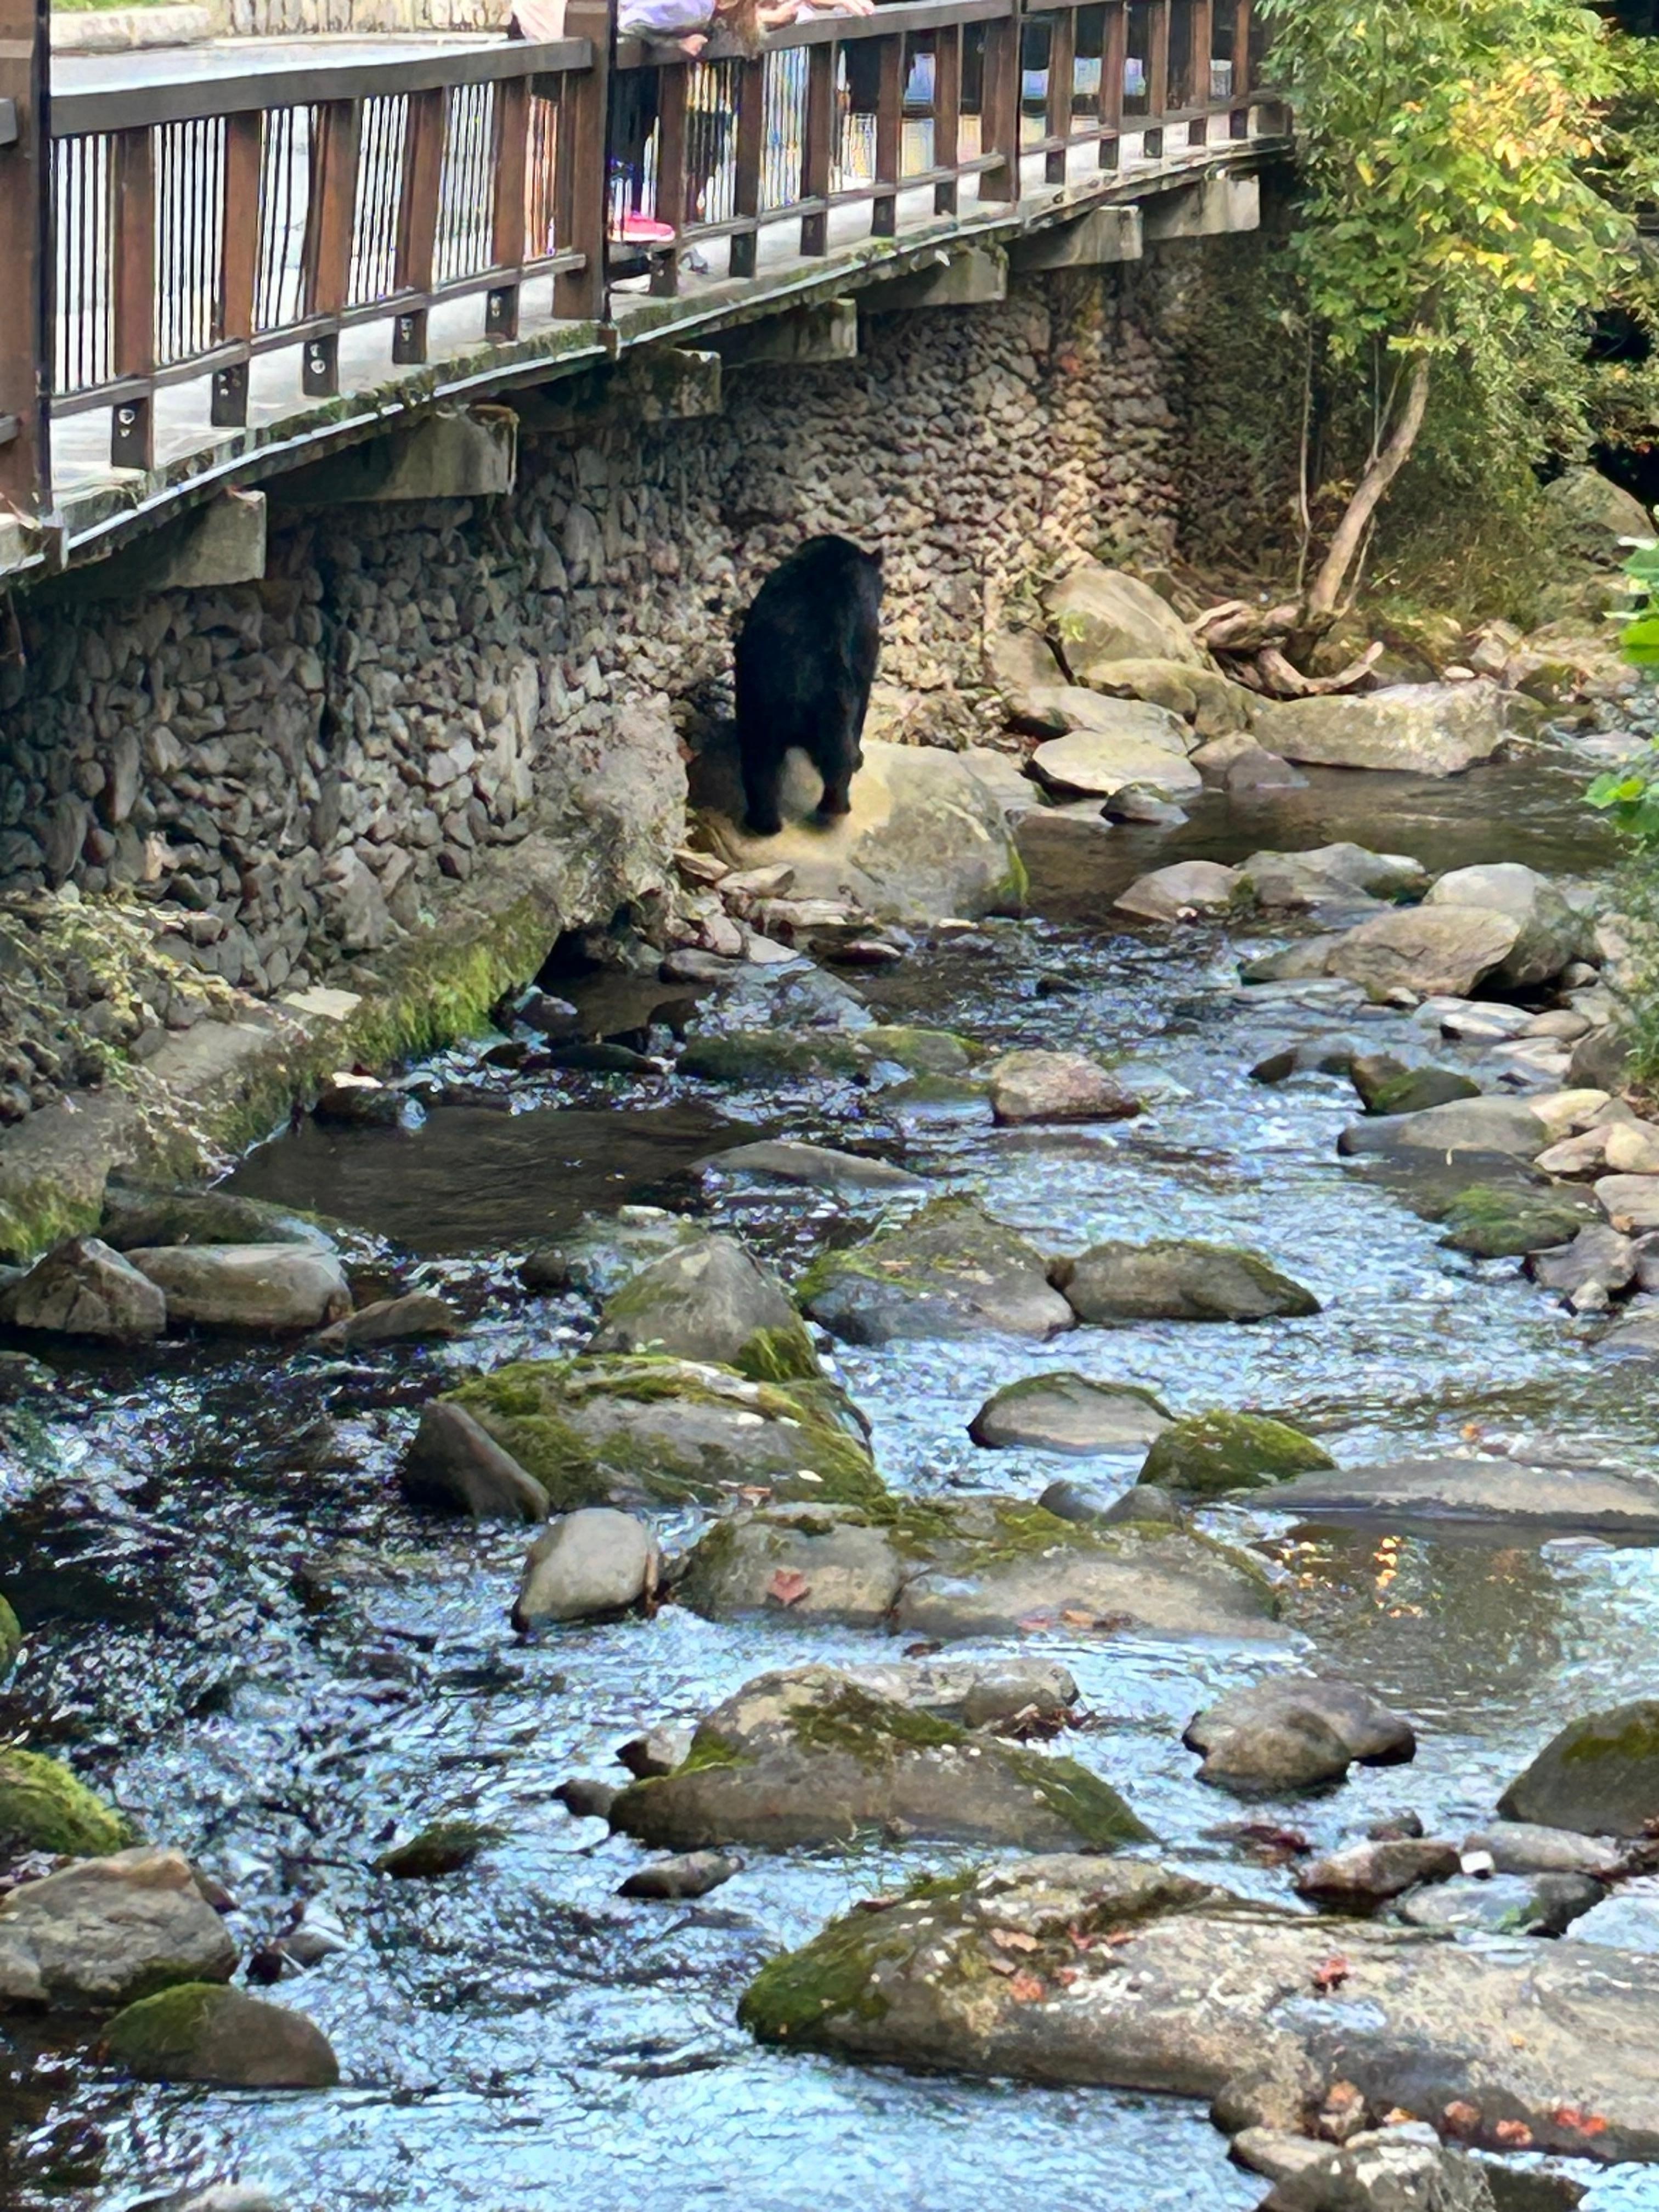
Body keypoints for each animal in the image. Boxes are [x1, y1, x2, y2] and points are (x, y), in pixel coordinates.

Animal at [732, 534, 883, 838]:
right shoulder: (866, 636)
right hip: (834, 705)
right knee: (838, 759)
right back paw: (836, 806)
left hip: (757, 709)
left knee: (759, 766)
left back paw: (764, 824)